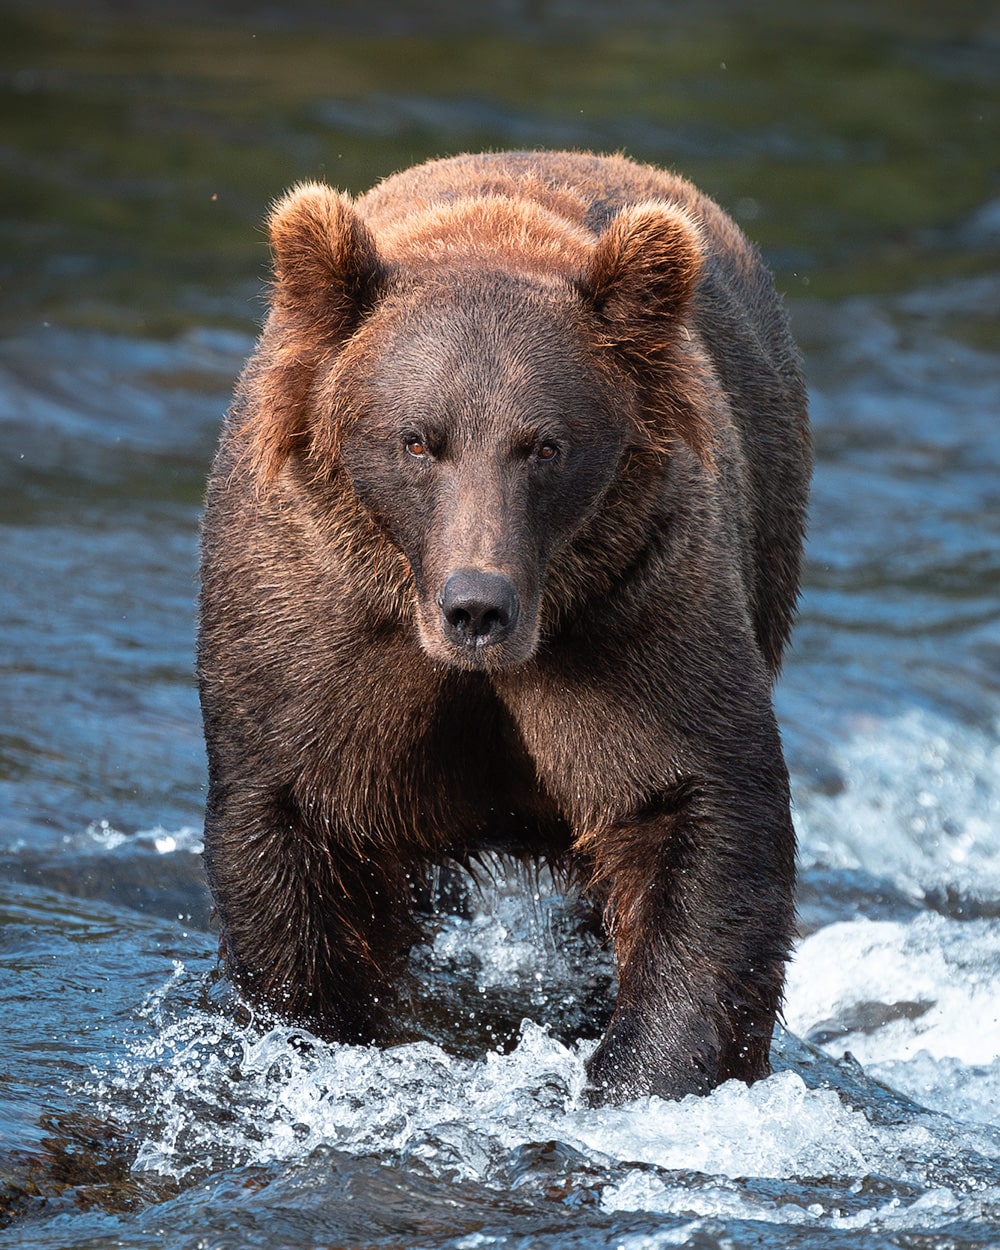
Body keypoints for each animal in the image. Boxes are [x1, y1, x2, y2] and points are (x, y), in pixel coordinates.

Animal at [197, 148, 810, 1105]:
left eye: (545, 445)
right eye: (418, 439)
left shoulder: (636, 612)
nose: (477, 606)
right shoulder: (313, 625)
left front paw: (642, 1071)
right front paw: (317, 1030)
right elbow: (292, 827)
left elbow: (700, 813)